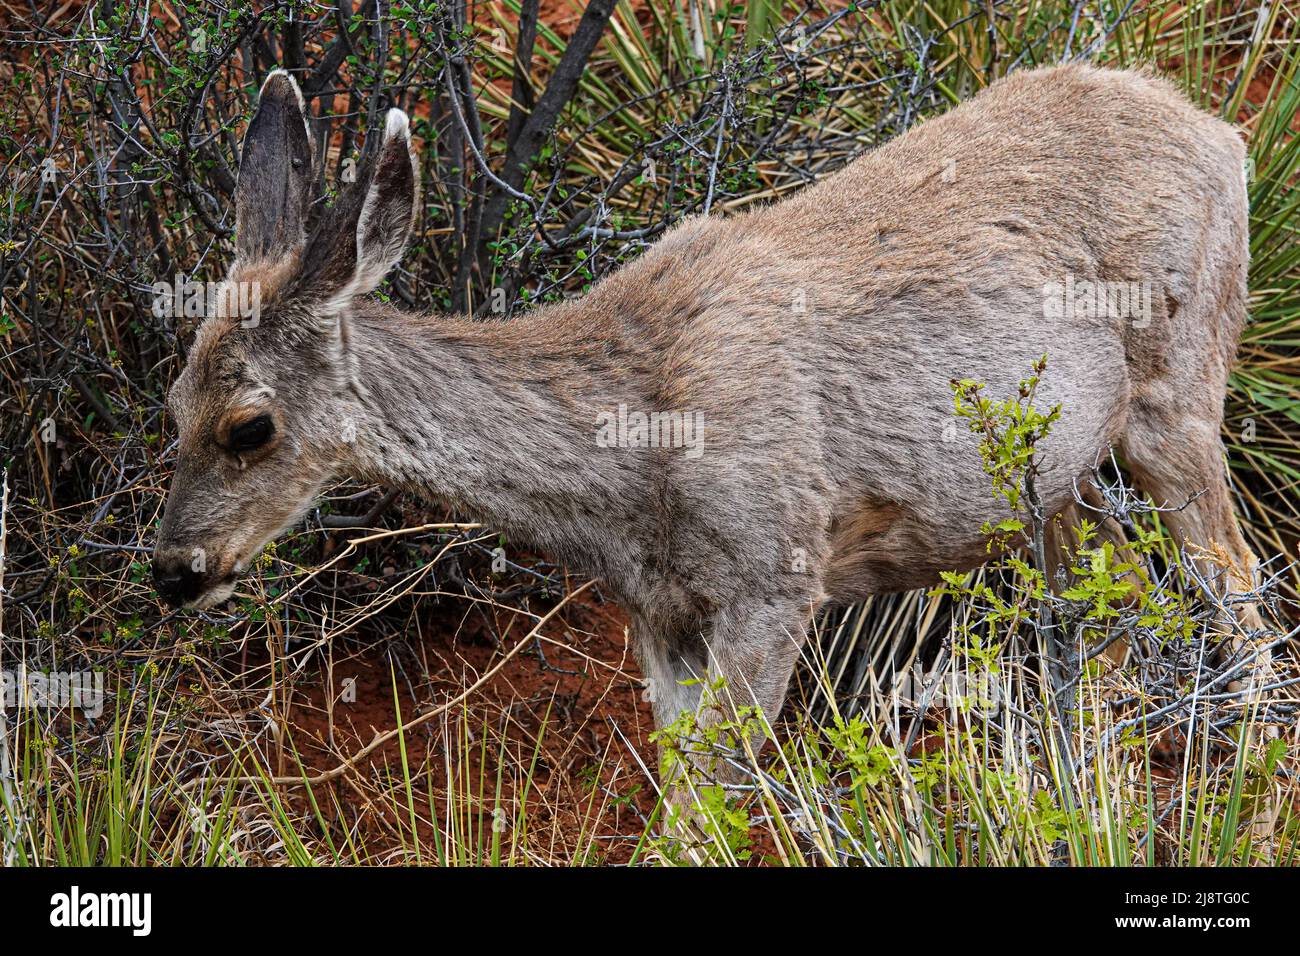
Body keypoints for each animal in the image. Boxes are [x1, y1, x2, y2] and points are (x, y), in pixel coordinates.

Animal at [153, 64, 1272, 797]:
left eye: (250, 425)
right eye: (173, 402)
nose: (175, 569)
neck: (631, 449)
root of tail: (1221, 132)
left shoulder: (778, 573)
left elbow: (705, 813)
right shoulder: (661, 618)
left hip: (1178, 389)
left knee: (1238, 588)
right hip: (1046, 489)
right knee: (1100, 603)